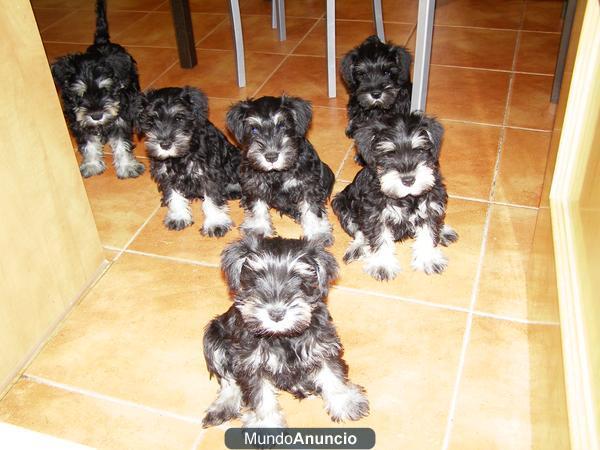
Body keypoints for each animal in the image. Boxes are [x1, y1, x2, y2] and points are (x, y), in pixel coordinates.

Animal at [50, 0, 144, 179]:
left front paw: (127, 167)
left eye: (105, 89)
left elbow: (122, 144)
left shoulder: (121, 120)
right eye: (79, 94)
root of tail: (101, 42)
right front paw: (92, 165)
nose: (96, 116)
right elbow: (89, 145)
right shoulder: (79, 123)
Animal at [139, 85, 243, 237]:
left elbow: (212, 201)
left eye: (179, 118)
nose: (165, 144)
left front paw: (215, 223)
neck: (180, 157)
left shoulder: (209, 175)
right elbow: (173, 196)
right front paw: (178, 217)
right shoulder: (166, 176)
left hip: (233, 156)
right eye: (151, 121)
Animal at [204, 236, 368, 428]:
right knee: (228, 379)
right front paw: (265, 424)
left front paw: (346, 403)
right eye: (257, 276)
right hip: (213, 337)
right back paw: (223, 406)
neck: (282, 336)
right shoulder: (251, 363)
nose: (276, 314)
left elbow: (332, 374)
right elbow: (261, 397)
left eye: (298, 277)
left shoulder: (323, 346)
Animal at [227, 95, 336, 246]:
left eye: (283, 125)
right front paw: (258, 228)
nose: (271, 156)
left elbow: (312, 210)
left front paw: (317, 233)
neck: (277, 173)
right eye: (254, 129)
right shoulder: (254, 185)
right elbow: (257, 207)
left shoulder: (308, 186)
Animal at [330, 111, 458, 282]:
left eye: (419, 150)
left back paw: (444, 231)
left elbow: (428, 233)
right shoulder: (375, 216)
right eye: (388, 154)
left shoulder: (431, 206)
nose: (408, 180)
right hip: (342, 203)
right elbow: (380, 239)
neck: (407, 197)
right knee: (358, 230)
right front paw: (382, 265)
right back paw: (358, 247)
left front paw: (428, 259)